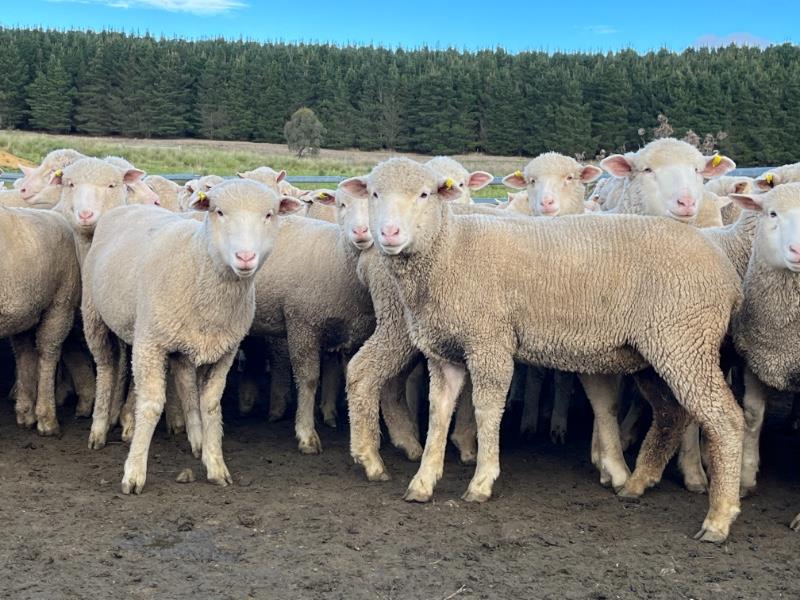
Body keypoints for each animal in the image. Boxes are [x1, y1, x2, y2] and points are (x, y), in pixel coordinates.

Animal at [0, 206, 80, 436]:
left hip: (52, 304)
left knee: (40, 353)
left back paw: (38, 416)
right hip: (36, 308)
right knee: (32, 352)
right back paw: (34, 414)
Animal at [342, 158, 744, 544]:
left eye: (425, 194)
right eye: (374, 194)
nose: (388, 233)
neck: (450, 250)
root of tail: (727, 271)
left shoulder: (489, 342)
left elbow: (487, 410)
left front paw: (481, 481)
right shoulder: (444, 353)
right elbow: (439, 413)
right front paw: (423, 481)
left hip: (684, 340)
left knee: (725, 419)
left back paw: (718, 518)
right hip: (655, 352)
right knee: (670, 414)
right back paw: (636, 484)